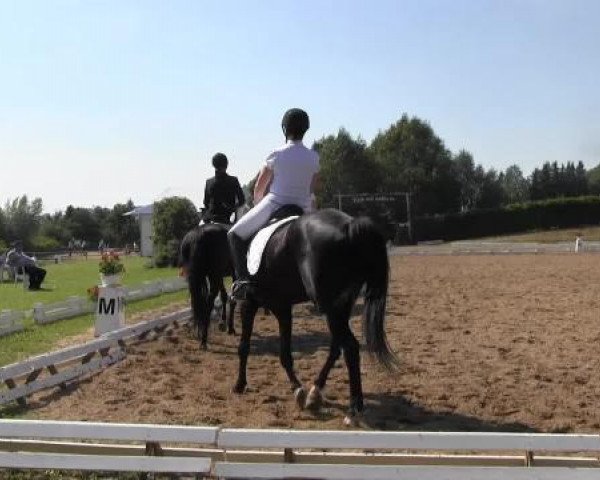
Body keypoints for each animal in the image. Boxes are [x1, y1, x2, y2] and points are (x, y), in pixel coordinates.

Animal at [230, 207, 394, 424]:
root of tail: (349, 226)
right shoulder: (282, 308)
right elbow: (284, 354)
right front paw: (297, 389)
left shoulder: (248, 304)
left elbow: (244, 347)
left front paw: (239, 385)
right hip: (340, 306)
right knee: (337, 347)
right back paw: (315, 393)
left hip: (329, 307)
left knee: (350, 347)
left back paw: (354, 409)